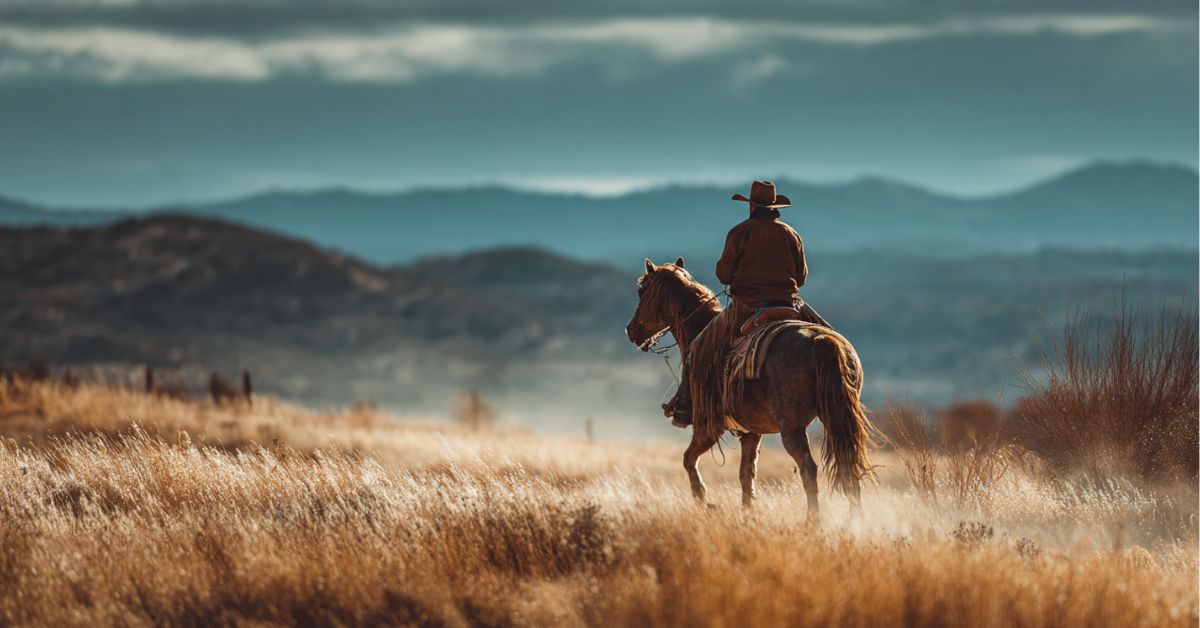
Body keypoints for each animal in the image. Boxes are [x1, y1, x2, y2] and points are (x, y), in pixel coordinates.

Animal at [625, 257, 873, 518]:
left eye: (641, 290)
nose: (630, 329)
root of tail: (822, 342)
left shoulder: (708, 427)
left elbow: (688, 459)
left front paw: (703, 499)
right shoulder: (751, 433)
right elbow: (746, 474)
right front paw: (746, 514)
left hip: (792, 427)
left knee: (809, 469)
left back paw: (813, 521)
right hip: (836, 418)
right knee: (848, 467)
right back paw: (853, 520)